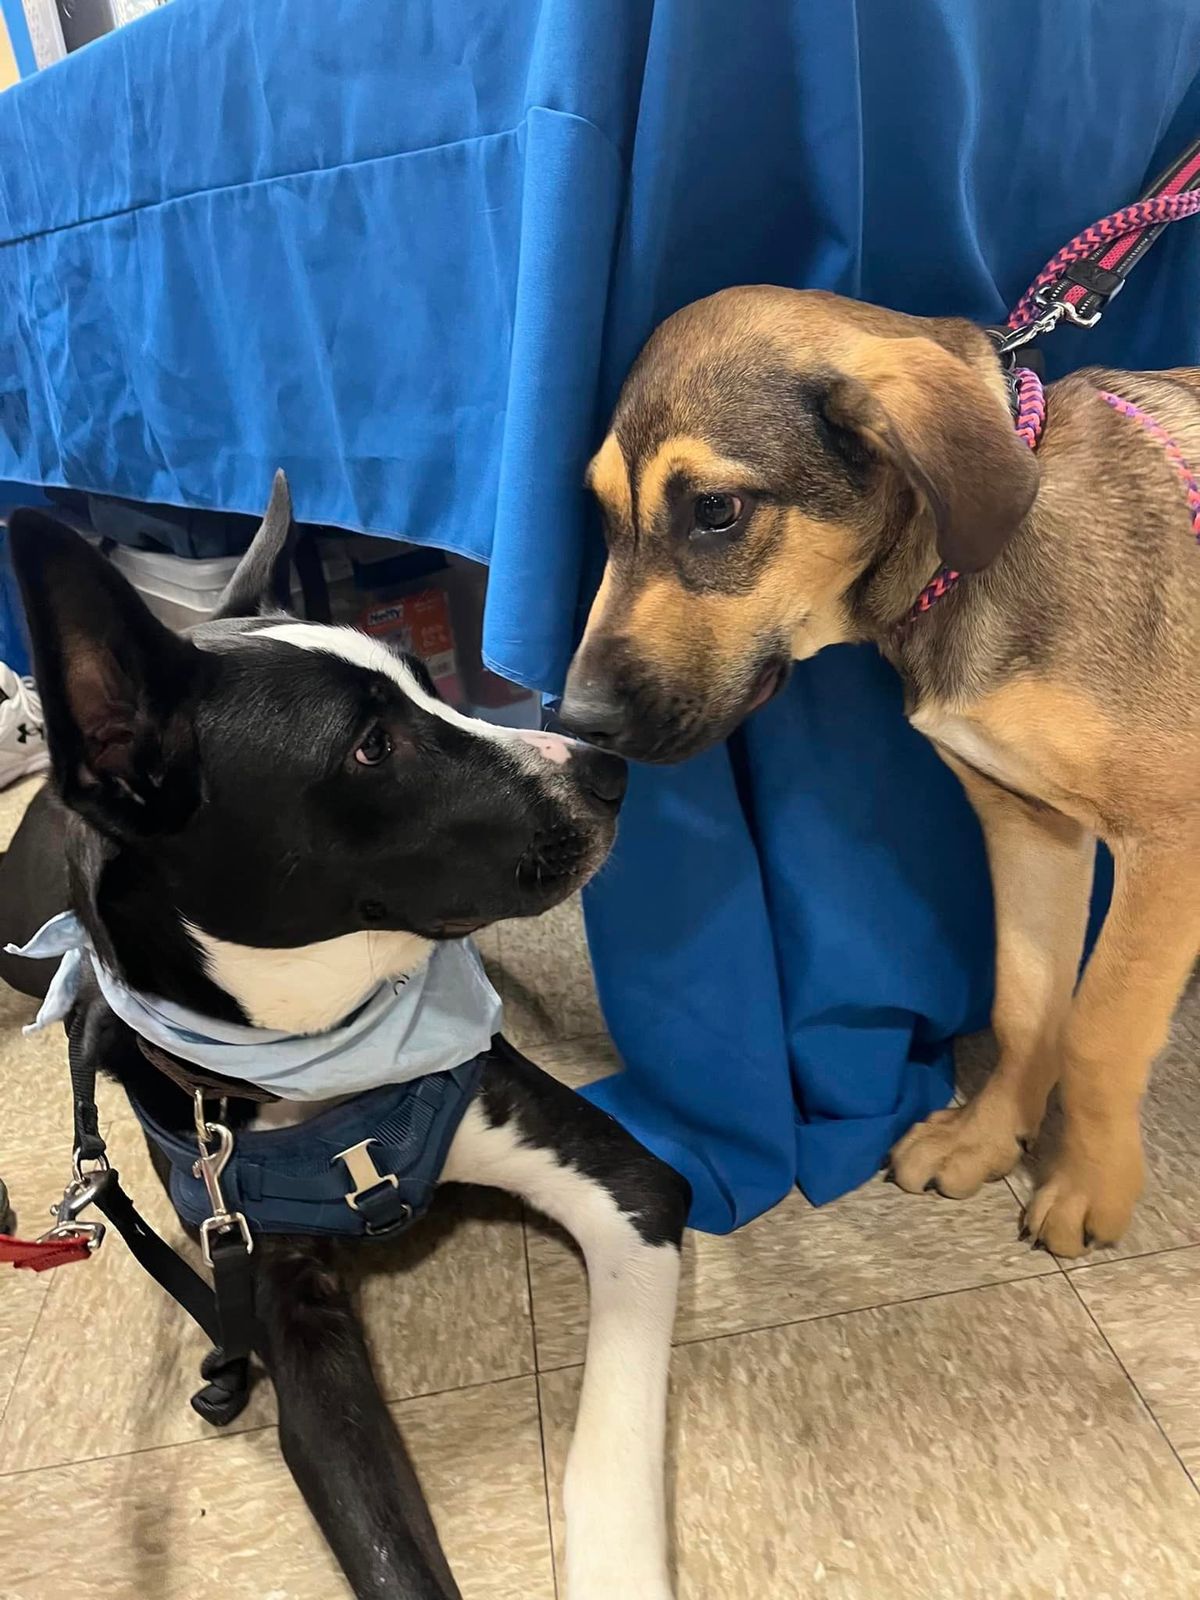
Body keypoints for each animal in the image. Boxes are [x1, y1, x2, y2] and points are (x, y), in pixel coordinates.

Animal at [0, 480, 691, 1600]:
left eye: (425, 682)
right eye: (370, 749)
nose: (608, 770)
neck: (310, 1056)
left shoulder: (632, 1190)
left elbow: (607, 1454)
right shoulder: (281, 1308)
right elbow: (384, 1548)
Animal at [563, 288, 1200, 1260]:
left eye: (716, 509)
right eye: (601, 515)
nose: (577, 720)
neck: (974, 573)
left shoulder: (1168, 838)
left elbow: (1097, 1029)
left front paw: (1089, 1183)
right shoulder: (1028, 823)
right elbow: (1027, 1004)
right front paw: (986, 1136)